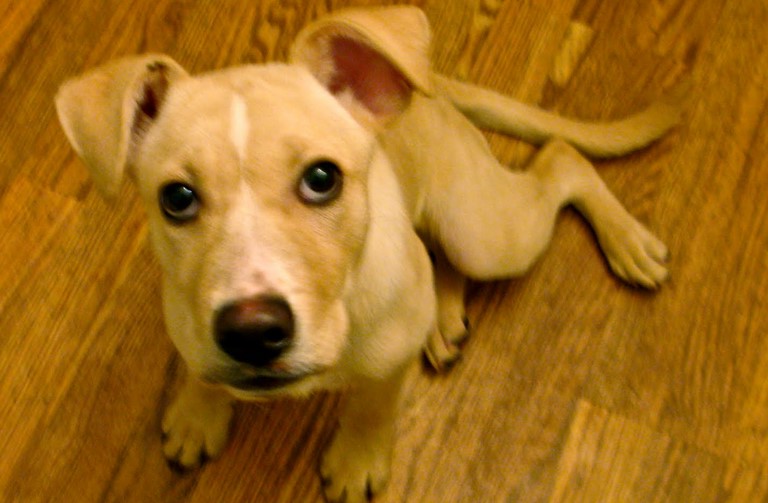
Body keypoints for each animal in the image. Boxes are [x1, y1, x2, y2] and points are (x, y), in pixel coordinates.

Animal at [55, 5, 680, 502]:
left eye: (322, 179)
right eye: (177, 198)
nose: (252, 333)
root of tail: (430, 90)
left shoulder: (387, 360)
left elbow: (374, 403)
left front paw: (358, 459)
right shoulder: (188, 321)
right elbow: (200, 370)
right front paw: (196, 414)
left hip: (484, 231)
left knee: (562, 158)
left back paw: (626, 241)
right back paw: (444, 317)